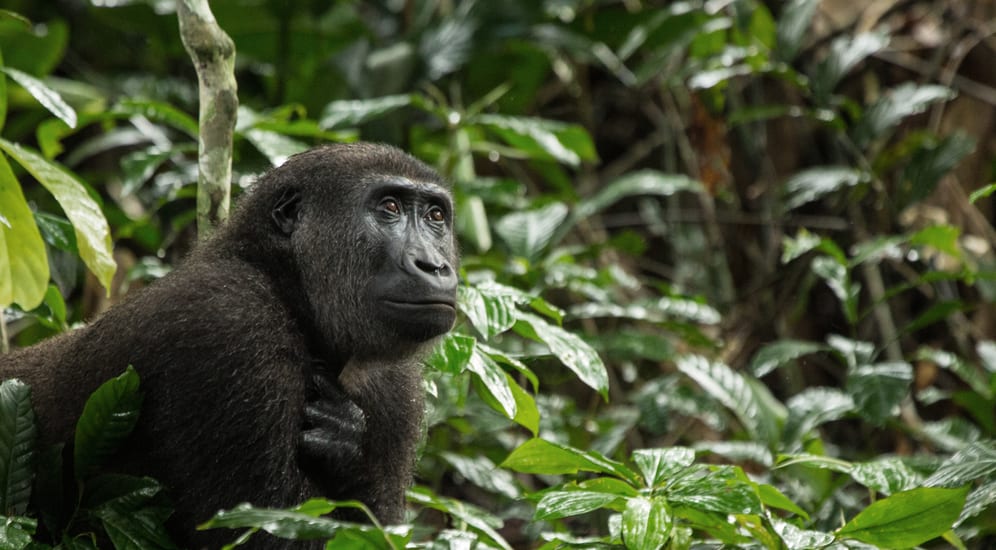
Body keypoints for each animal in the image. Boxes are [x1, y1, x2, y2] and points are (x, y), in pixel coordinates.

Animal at [0, 143, 459, 549]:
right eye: (390, 208)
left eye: (436, 216)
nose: (435, 265)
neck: (286, 286)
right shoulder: (230, 323)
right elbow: (261, 536)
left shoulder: (395, 388)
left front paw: (348, 448)